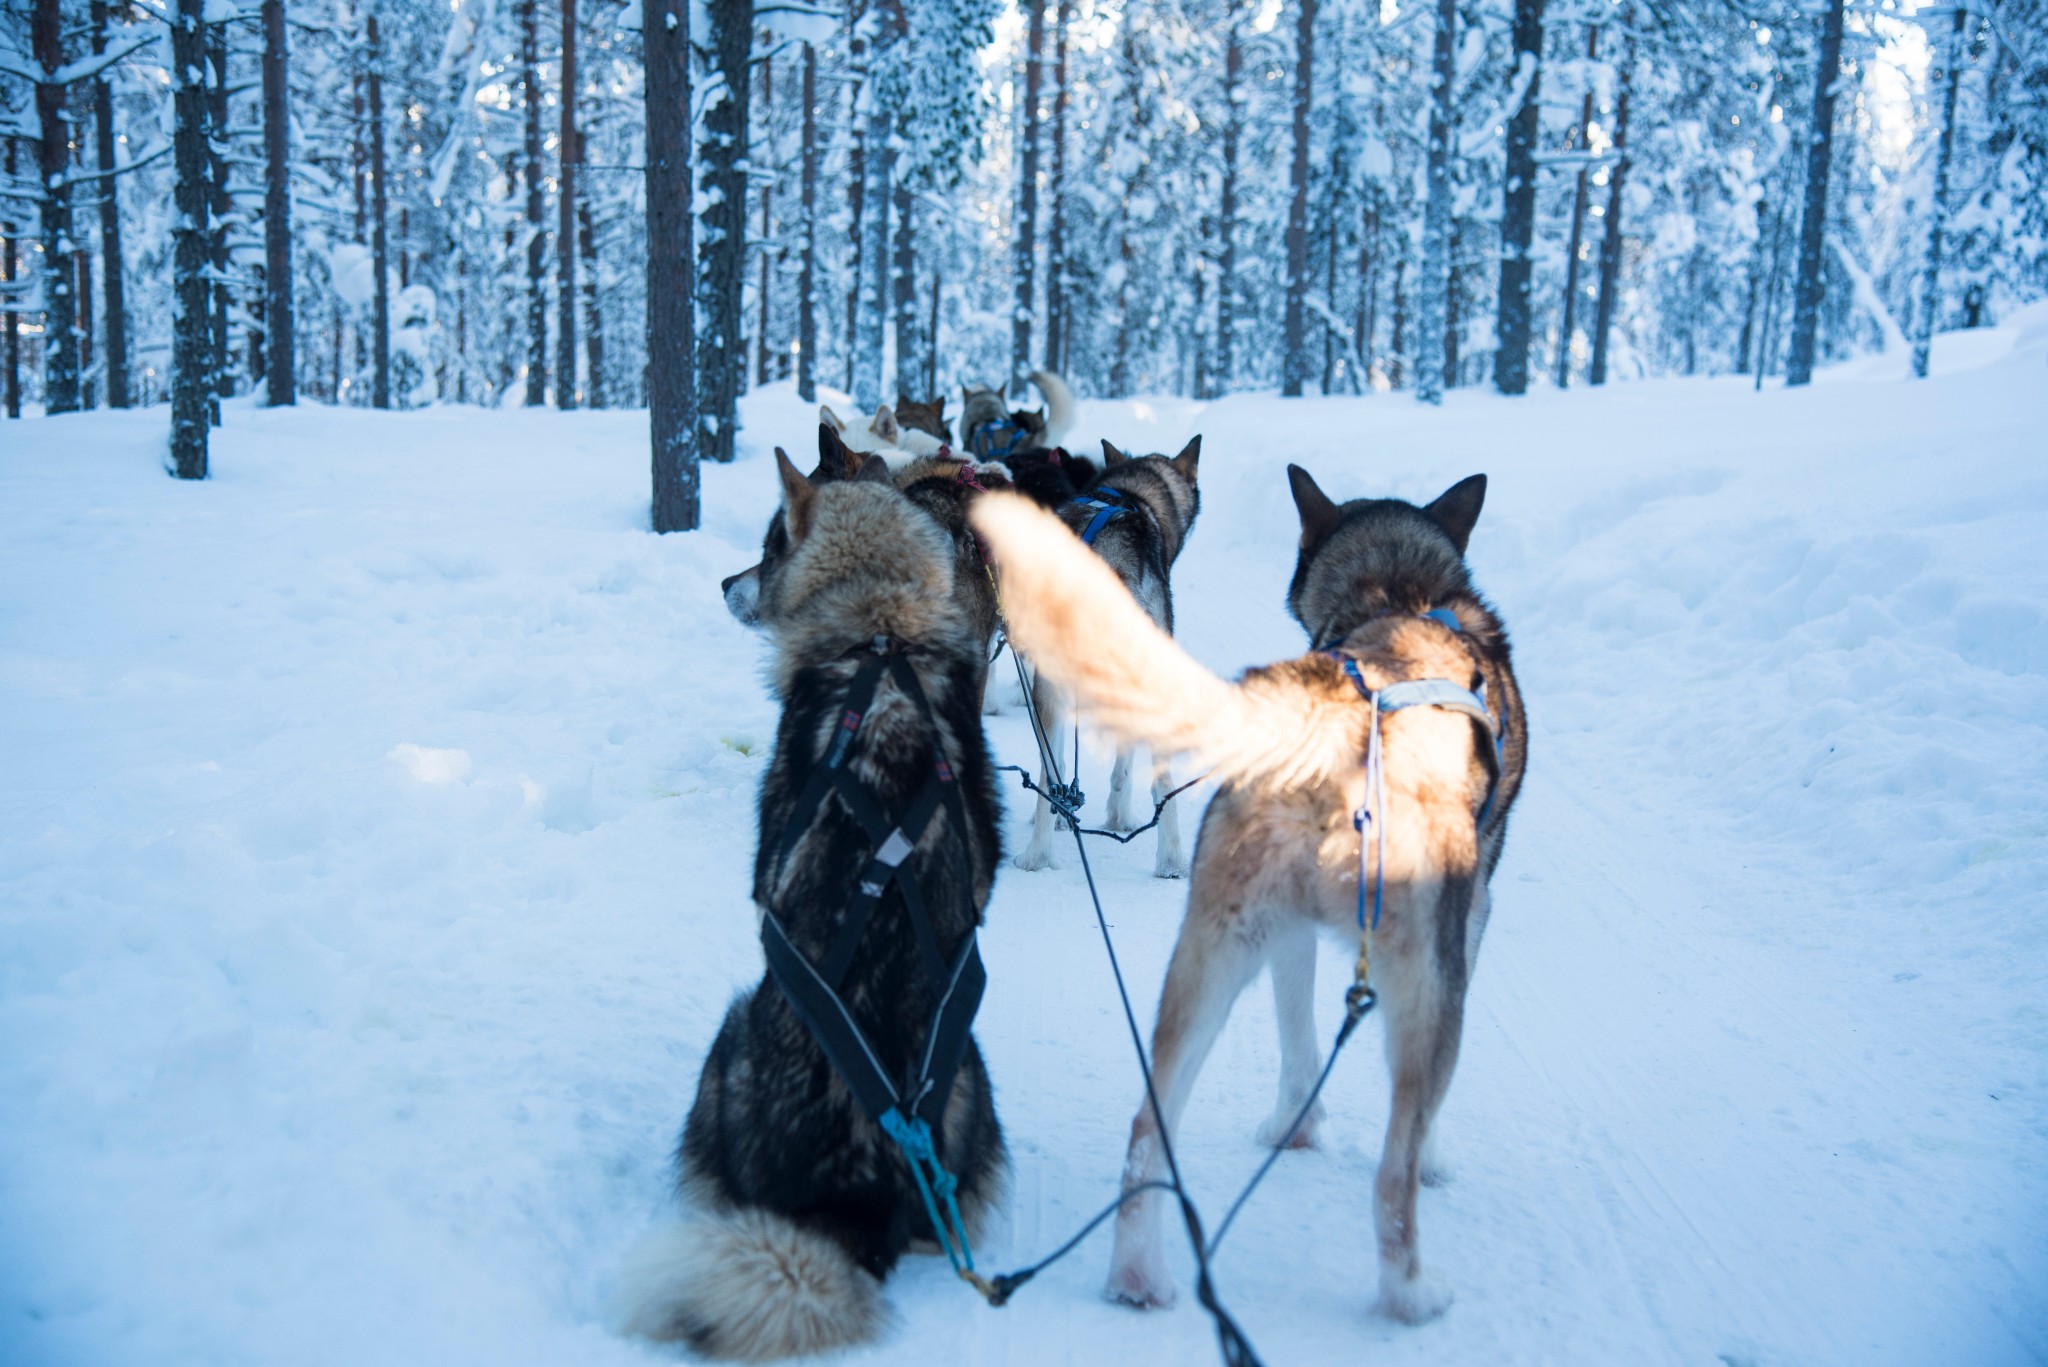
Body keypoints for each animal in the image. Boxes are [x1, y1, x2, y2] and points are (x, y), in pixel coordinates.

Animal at [622, 446, 1007, 1360]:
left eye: (768, 545)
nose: (723, 582)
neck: (882, 632)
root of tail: (850, 1201)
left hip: (726, 1041)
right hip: (973, 1075)